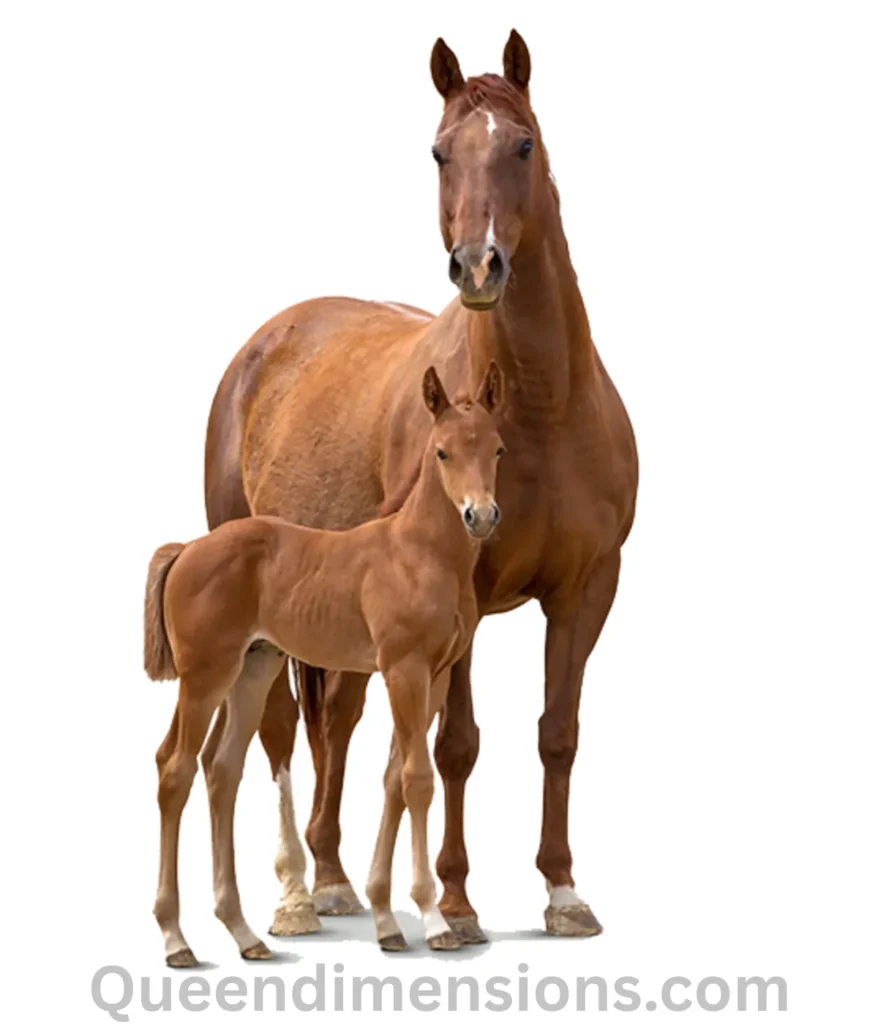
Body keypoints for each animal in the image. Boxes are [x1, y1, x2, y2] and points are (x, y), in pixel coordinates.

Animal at [146, 363, 506, 965]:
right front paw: (434, 923)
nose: (480, 516)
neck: (420, 552)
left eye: (498, 449)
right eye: (442, 451)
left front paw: (388, 922)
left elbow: (393, 779)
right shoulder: (402, 669)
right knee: (175, 769)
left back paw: (244, 934)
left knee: (222, 769)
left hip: (252, 670)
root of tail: (188, 549)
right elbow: (417, 779)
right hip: (204, 677)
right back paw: (176, 940)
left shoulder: (434, 676)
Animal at [204, 29, 638, 943]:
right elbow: (456, 746)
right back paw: (296, 896)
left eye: (523, 144)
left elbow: (558, 732)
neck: (541, 407)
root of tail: (270, 342)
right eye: (439, 151)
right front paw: (458, 903)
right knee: (280, 730)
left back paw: (334, 879)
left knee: (337, 719)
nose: (477, 266)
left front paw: (563, 892)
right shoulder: (464, 592)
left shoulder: (587, 590)